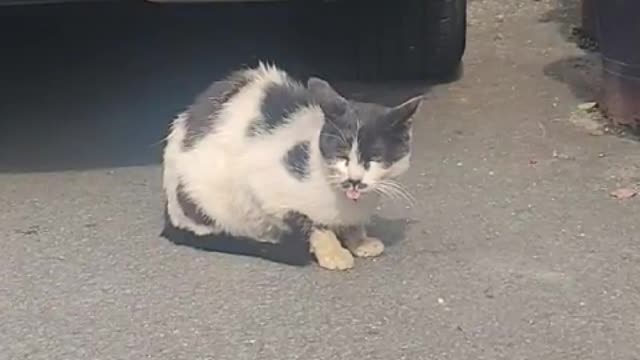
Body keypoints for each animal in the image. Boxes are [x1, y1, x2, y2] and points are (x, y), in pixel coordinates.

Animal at [160, 62, 422, 270]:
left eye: (375, 156)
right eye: (341, 153)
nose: (354, 180)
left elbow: (352, 224)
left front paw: (360, 240)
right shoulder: (264, 184)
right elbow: (311, 223)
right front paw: (333, 253)